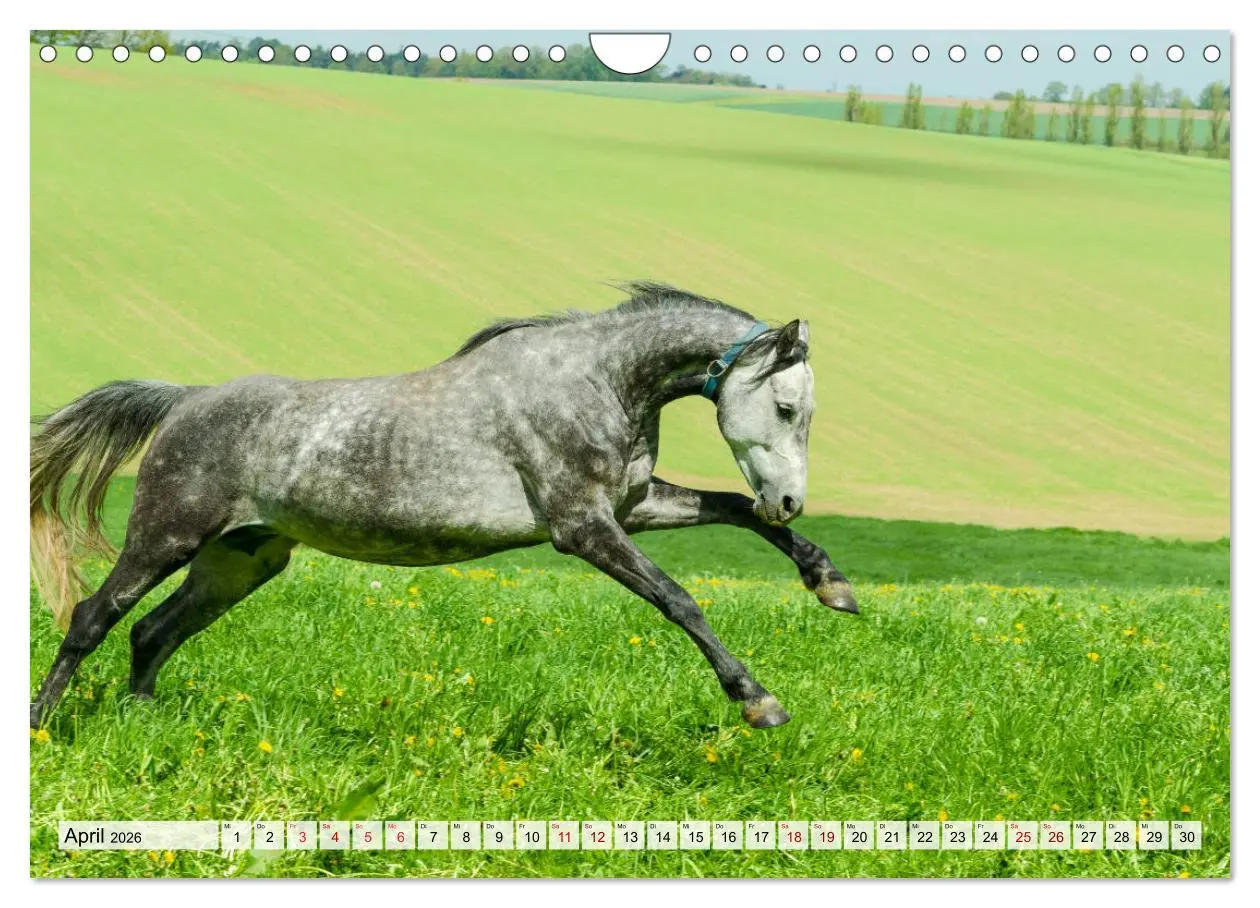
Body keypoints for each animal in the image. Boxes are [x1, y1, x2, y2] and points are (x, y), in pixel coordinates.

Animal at [30, 282, 858, 731]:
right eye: (787, 407)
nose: (790, 499)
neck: (598, 380)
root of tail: (186, 400)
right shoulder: (583, 527)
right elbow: (680, 600)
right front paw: (758, 702)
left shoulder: (632, 507)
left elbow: (733, 509)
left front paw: (831, 585)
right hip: (164, 538)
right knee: (94, 617)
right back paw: (42, 727)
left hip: (240, 561)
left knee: (152, 632)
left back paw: (141, 719)